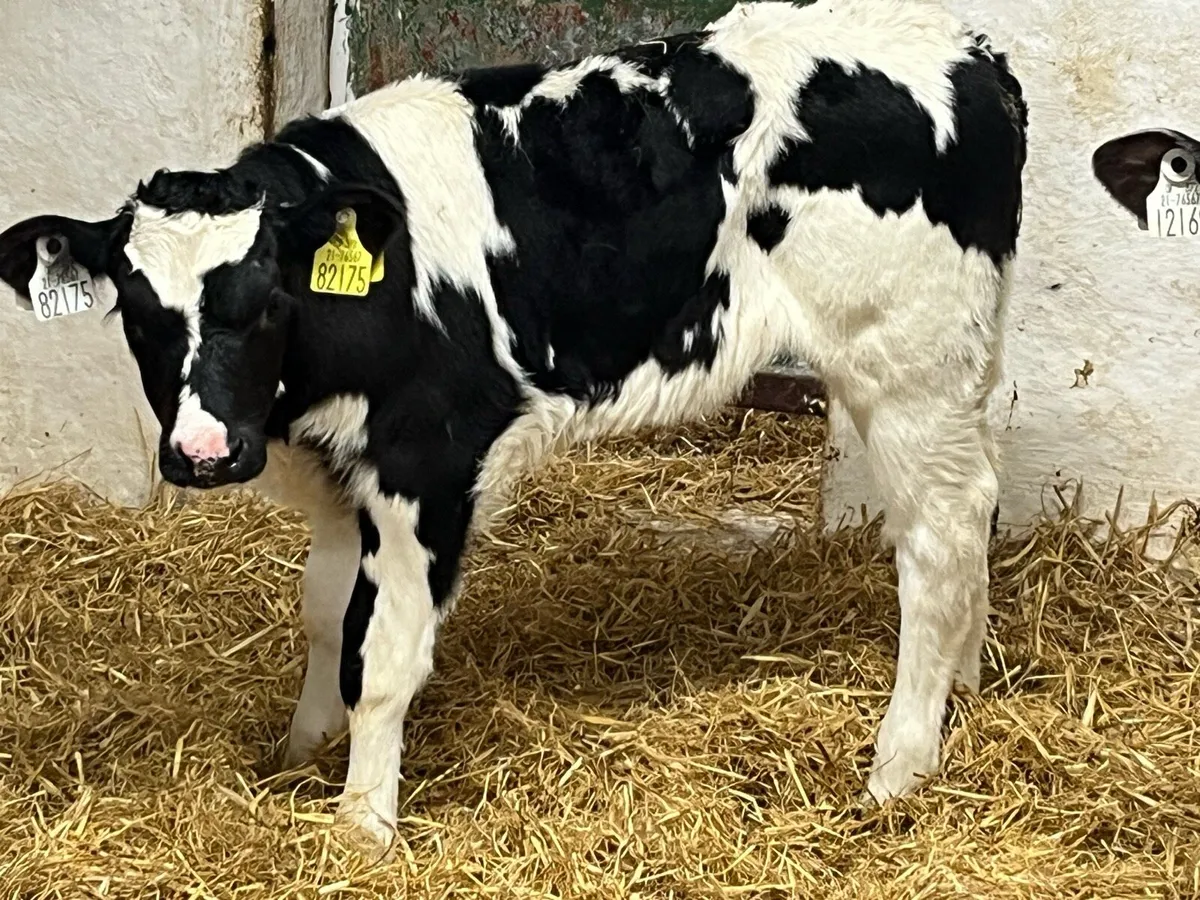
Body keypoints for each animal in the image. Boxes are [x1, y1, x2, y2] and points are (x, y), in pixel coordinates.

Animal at [0, 0, 1027, 846]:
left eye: (264, 303)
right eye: (138, 314)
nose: (204, 453)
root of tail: (972, 53)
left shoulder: (429, 460)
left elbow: (381, 651)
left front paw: (361, 824)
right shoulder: (340, 474)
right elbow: (327, 617)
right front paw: (301, 752)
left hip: (903, 362)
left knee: (937, 540)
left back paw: (900, 763)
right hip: (960, 365)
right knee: (976, 496)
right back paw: (966, 689)